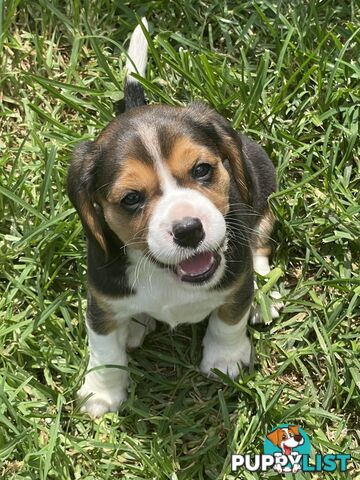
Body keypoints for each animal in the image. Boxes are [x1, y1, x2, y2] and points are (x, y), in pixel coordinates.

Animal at [69, 18, 278, 416]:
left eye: (202, 170)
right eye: (131, 199)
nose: (188, 230)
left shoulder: (236, 280)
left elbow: (229, 319)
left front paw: (225, 359)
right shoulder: (100, 300)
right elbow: (103, 349)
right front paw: (102, 391)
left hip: (263, 189)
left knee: (260, 242)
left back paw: (265, 297)